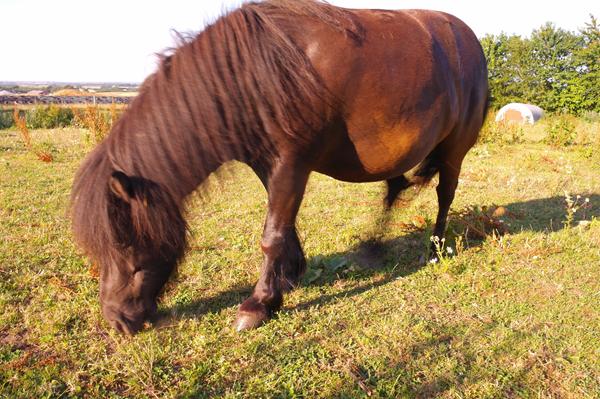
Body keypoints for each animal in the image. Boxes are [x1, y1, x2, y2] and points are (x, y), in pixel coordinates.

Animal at [72, 0, 490, 334]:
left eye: (125, 244)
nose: (117, 319)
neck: (251, 76)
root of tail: (471, 39)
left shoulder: (291, 164)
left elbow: (271, 236)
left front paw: (258, 304)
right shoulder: (269, 166)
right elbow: (283, 229)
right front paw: (288, 279)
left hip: (454, 150)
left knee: (444, 194)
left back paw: (434, 248)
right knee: (395, 189)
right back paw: (373, 247)